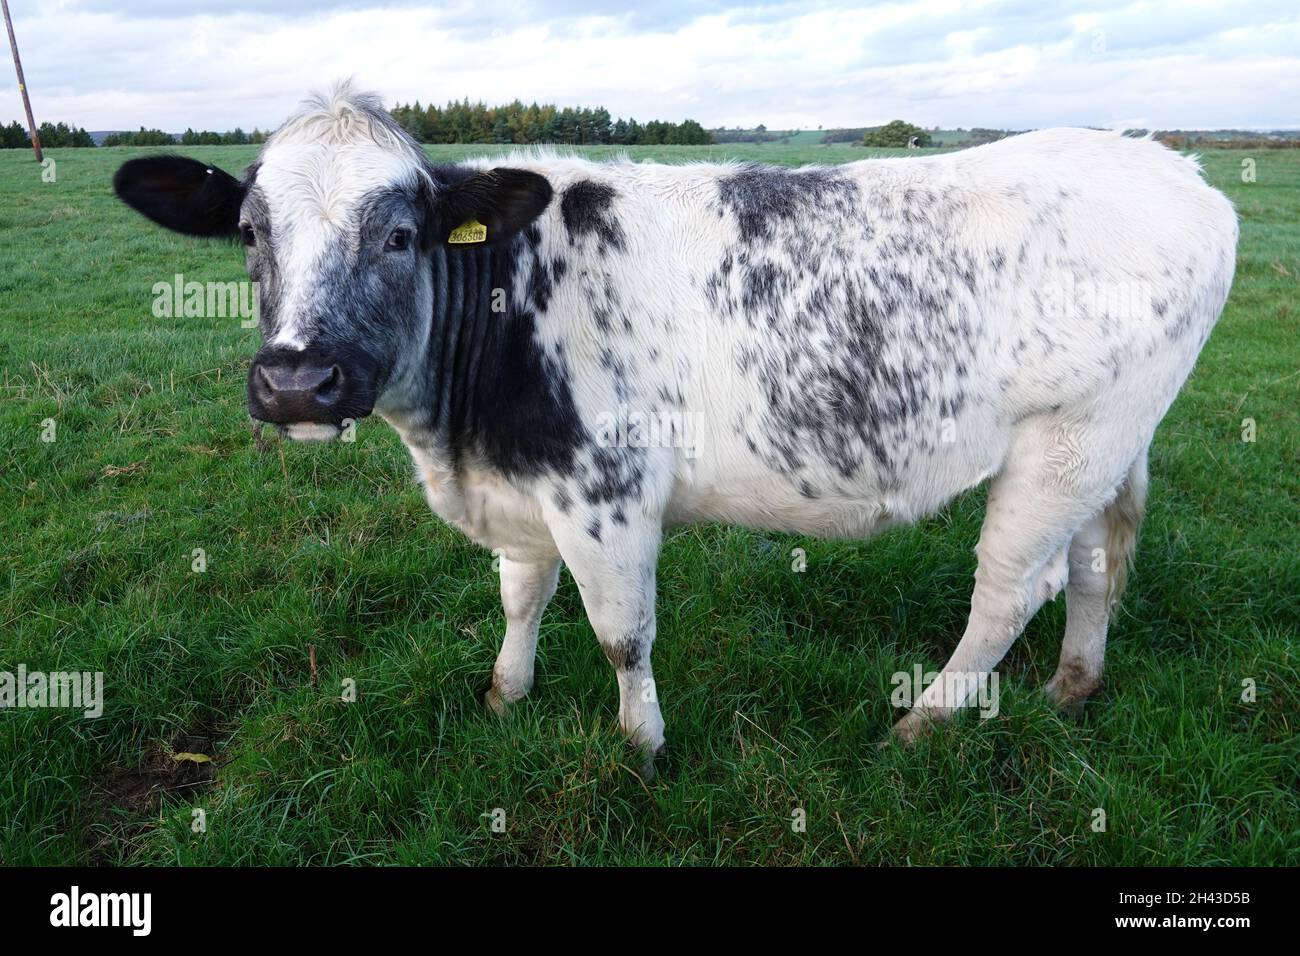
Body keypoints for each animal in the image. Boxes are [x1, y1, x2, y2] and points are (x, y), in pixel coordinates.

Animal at [114, 83, 1237, 780]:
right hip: (1105, 442)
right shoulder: (524, 485)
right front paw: (505, 696)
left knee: (1012, 589)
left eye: (398, 234)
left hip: (1062, 445)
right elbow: (521, 597)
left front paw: (641, 747)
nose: (297, 381)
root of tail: (1173, 169)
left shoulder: (605, 491)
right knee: (1097, 565)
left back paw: (922, 721)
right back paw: (1071, 687)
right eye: (249, 232)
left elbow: (622, 632)